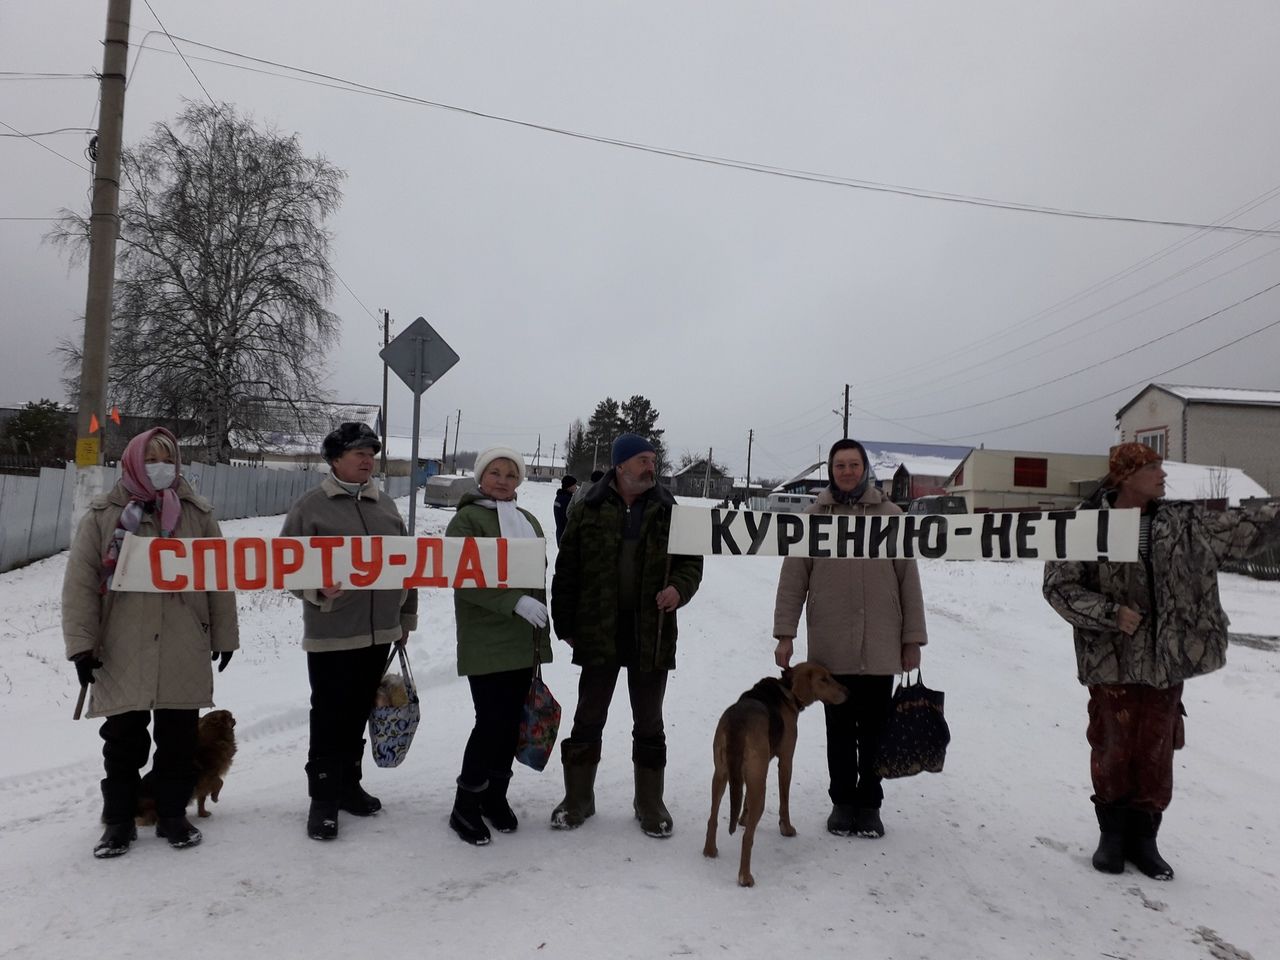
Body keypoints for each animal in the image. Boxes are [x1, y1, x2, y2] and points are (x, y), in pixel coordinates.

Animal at [701, 665, 849, 890]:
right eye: (824, 679)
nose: (847, 691)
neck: (786, 687)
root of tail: (738, 722)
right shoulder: (786, 761)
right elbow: (784, 801)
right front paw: (786, 829)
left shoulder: (754, 772)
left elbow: (744, 801)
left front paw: (743, 818)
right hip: (758, 788)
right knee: (747, 838)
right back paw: (745, 877)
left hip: (722, 775)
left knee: (713, 818)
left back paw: (710, 851)